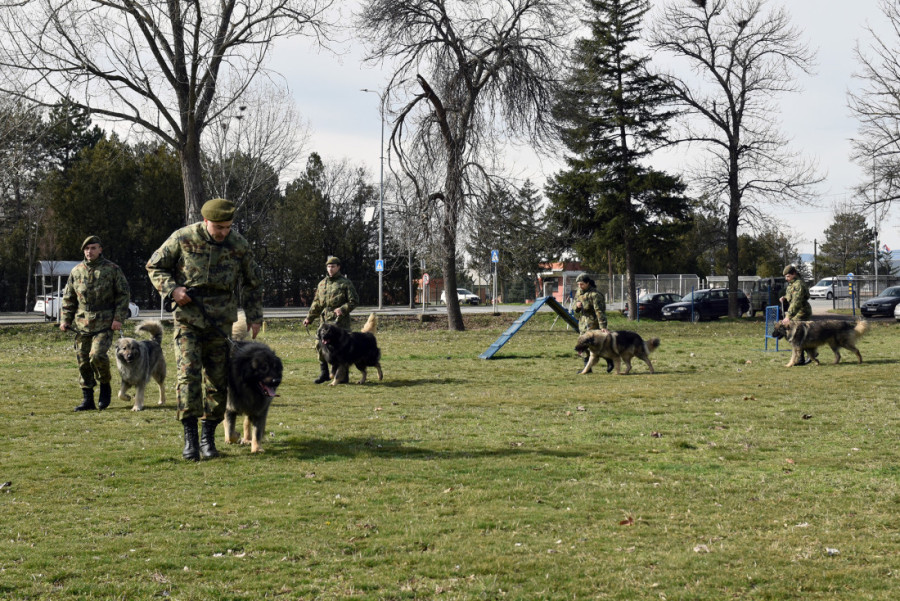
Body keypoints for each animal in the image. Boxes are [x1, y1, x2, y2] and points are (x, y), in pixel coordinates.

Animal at [223, 315, 283, 453]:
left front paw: (256, 448)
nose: (276, 381)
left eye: (275, 367)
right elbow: (230, 431)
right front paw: (234, 436)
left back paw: (247, 439)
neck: (248, 388)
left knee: (247, 422)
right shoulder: (230, 407)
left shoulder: (260, 410)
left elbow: (257, 431)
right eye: (263, 368)